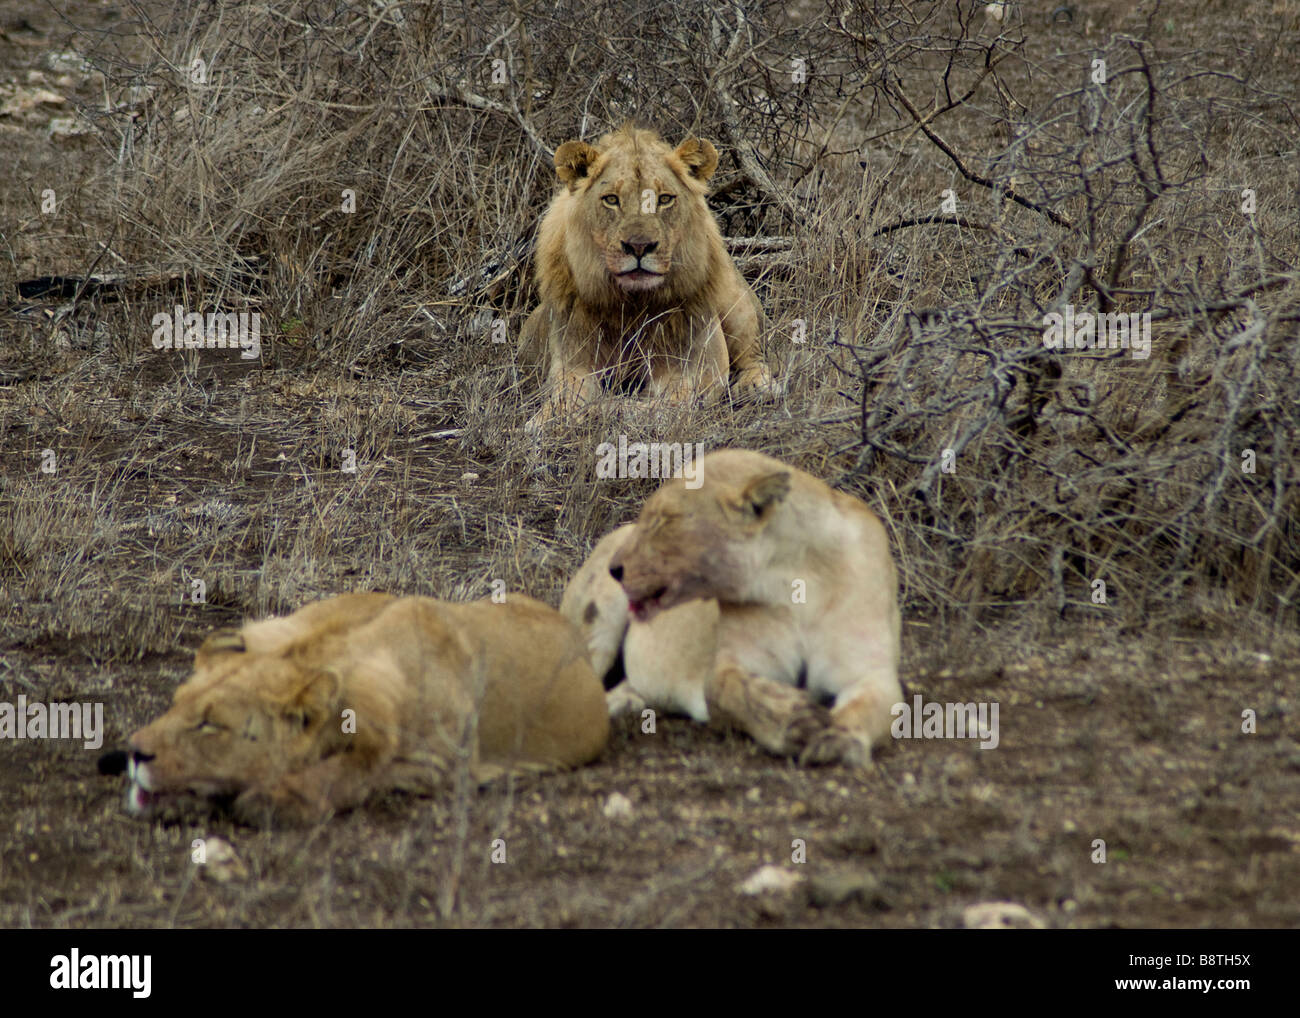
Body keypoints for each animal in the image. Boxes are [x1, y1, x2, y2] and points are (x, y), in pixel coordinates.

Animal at [103, 593, 609, 824]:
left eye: (210, 725)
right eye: (174, 706)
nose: (135, 752)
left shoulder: (443, 764)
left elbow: (353, 771)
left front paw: (272, 799)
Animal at [521, 125, 776, 431]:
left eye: (664, 199)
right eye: (611, 199)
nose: (639, 246)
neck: (632, 306)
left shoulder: (682, 370)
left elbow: (667, 406)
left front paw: (610, 409)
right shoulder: (573, 364)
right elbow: (565, 396)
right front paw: (544, 420)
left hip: (737, 305)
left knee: (755, 356)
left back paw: (753, 387)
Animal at [560, 449, 902, 767]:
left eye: (664, 519)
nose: (615, 569)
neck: (797, 579)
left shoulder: (870, 672)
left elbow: (867, 707)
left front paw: (837, 738)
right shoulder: (729, 662)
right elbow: (731, 689)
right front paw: (792, 717)